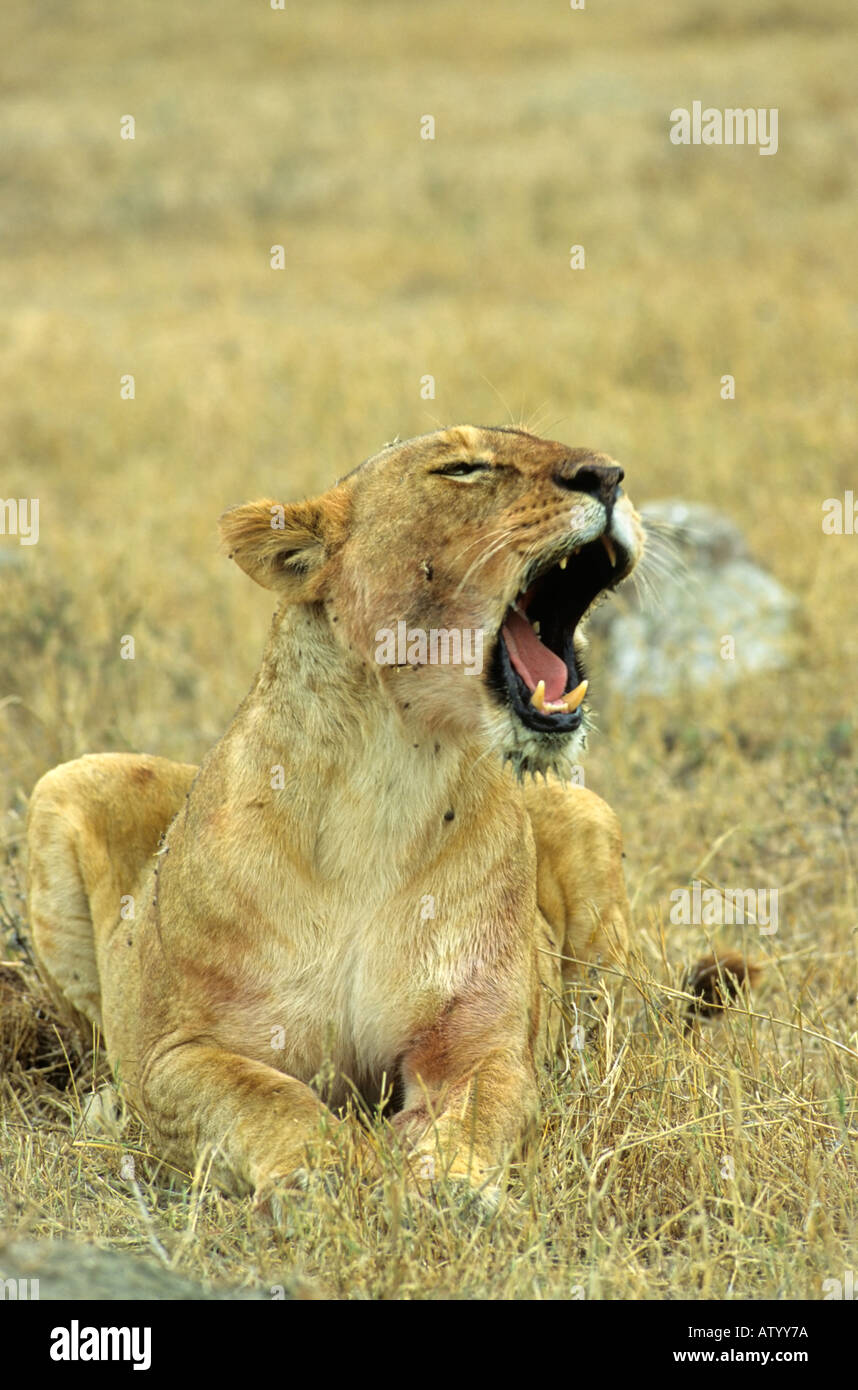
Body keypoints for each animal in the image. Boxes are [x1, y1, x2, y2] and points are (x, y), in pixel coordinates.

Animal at [25, 425, 646, 1201]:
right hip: (68, 781)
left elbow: (482, 1103)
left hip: (584, 812)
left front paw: (448, 1184)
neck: (390, 776)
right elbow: (267, 1098)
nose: (611, 476)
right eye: (462, 468)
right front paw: (327, 1174)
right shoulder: (178, 1050)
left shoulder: (483, 1038)